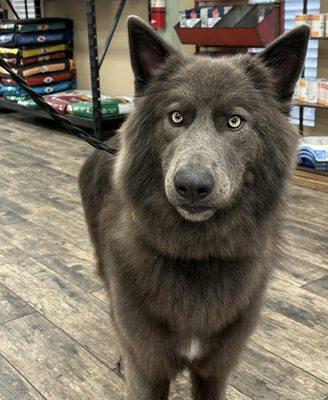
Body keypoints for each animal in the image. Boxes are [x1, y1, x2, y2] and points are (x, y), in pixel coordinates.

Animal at [79, 18, 310, 400]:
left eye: (234, 121)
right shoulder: (148, 371)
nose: (192, 186)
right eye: (176, 117)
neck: (197, 251)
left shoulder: (215, 371)